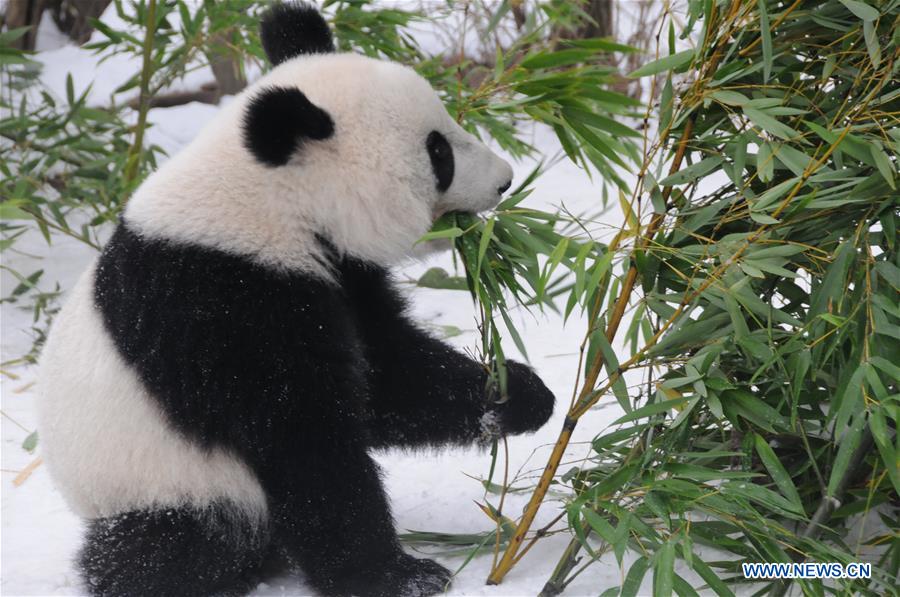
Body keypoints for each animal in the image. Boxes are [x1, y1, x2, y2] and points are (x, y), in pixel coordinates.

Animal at [37, 3, 555, 596]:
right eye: (438, 151)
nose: (505, 180)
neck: (271, 200)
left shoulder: (339, 273)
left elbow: (387, 378)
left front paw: (519, 393)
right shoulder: (226, 301)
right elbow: (306, 444)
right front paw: (396, 575)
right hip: (163, 481)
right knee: (173, 545)